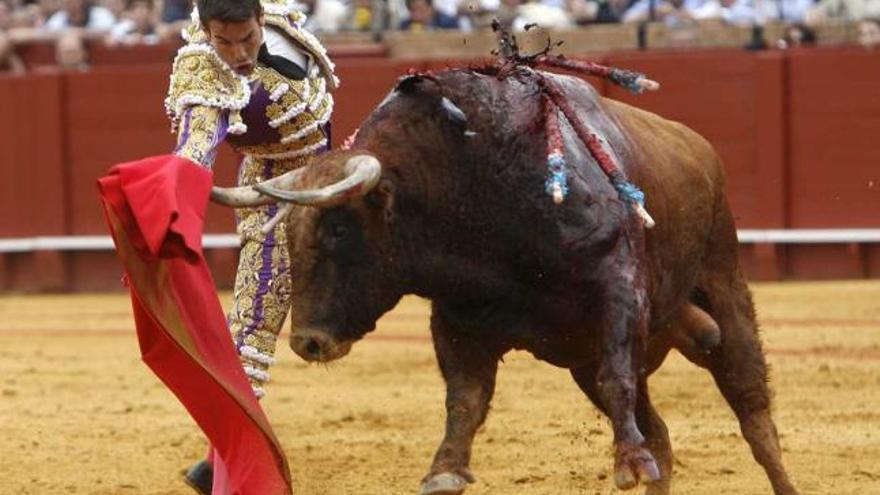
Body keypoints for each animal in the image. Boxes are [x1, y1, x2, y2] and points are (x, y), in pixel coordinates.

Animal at [211, 67, 796, 495]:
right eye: (288, 234)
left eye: (337, 228)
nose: (308, 342)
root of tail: (700, 148)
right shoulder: (459, 318)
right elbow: (465, 400)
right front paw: (444, 470)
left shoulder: (618, 290)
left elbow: (618, 380)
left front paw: (627, 463)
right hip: (585, 358)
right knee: (661, 436)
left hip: (724, 283)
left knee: (753, 415)